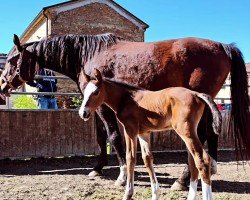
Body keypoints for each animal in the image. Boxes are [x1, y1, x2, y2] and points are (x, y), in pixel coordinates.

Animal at [79, 69, 222, 200]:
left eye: (96, 92)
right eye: (84, 92)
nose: (83, 113)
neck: (126, 99)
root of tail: (197, 94)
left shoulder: (130, 130)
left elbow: (130, 158)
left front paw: (128, 194)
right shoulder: (144, 133)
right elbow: (147, 158)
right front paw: (155, 194)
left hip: (185, 131)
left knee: (202, 161)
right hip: (190, 133)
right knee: (193, 163)